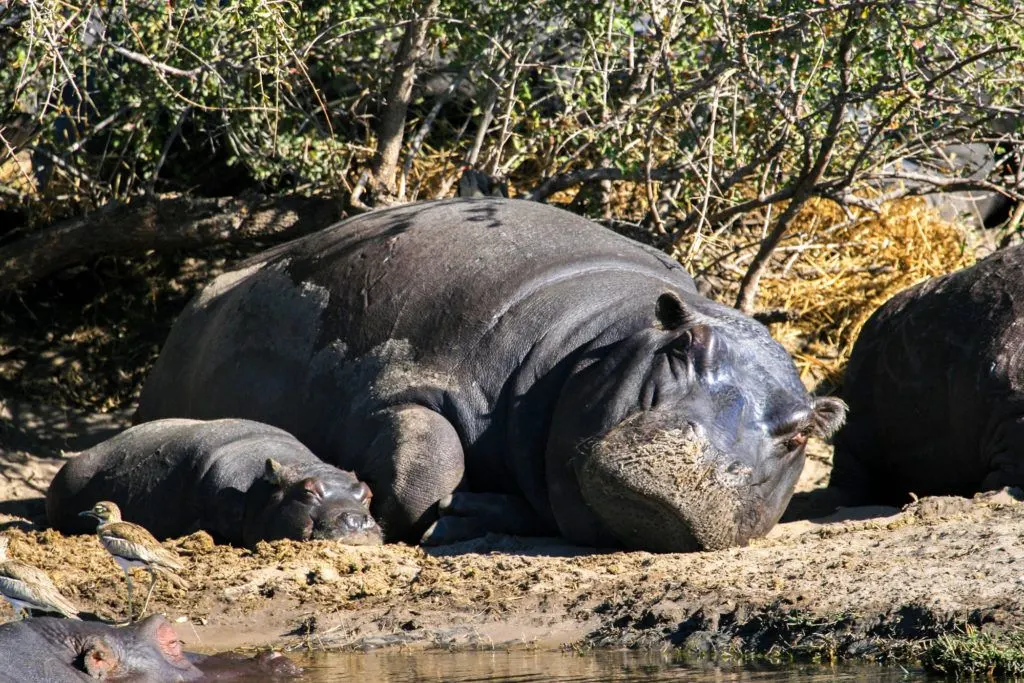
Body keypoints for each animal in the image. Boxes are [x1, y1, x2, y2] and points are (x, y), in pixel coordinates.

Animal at [134, 198, 846, 552]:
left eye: (803, 432)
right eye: (685, 344)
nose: (701, 466)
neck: (595, 341)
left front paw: (463, 516)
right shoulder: (410, 384)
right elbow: (426, 464)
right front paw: (434, 519)